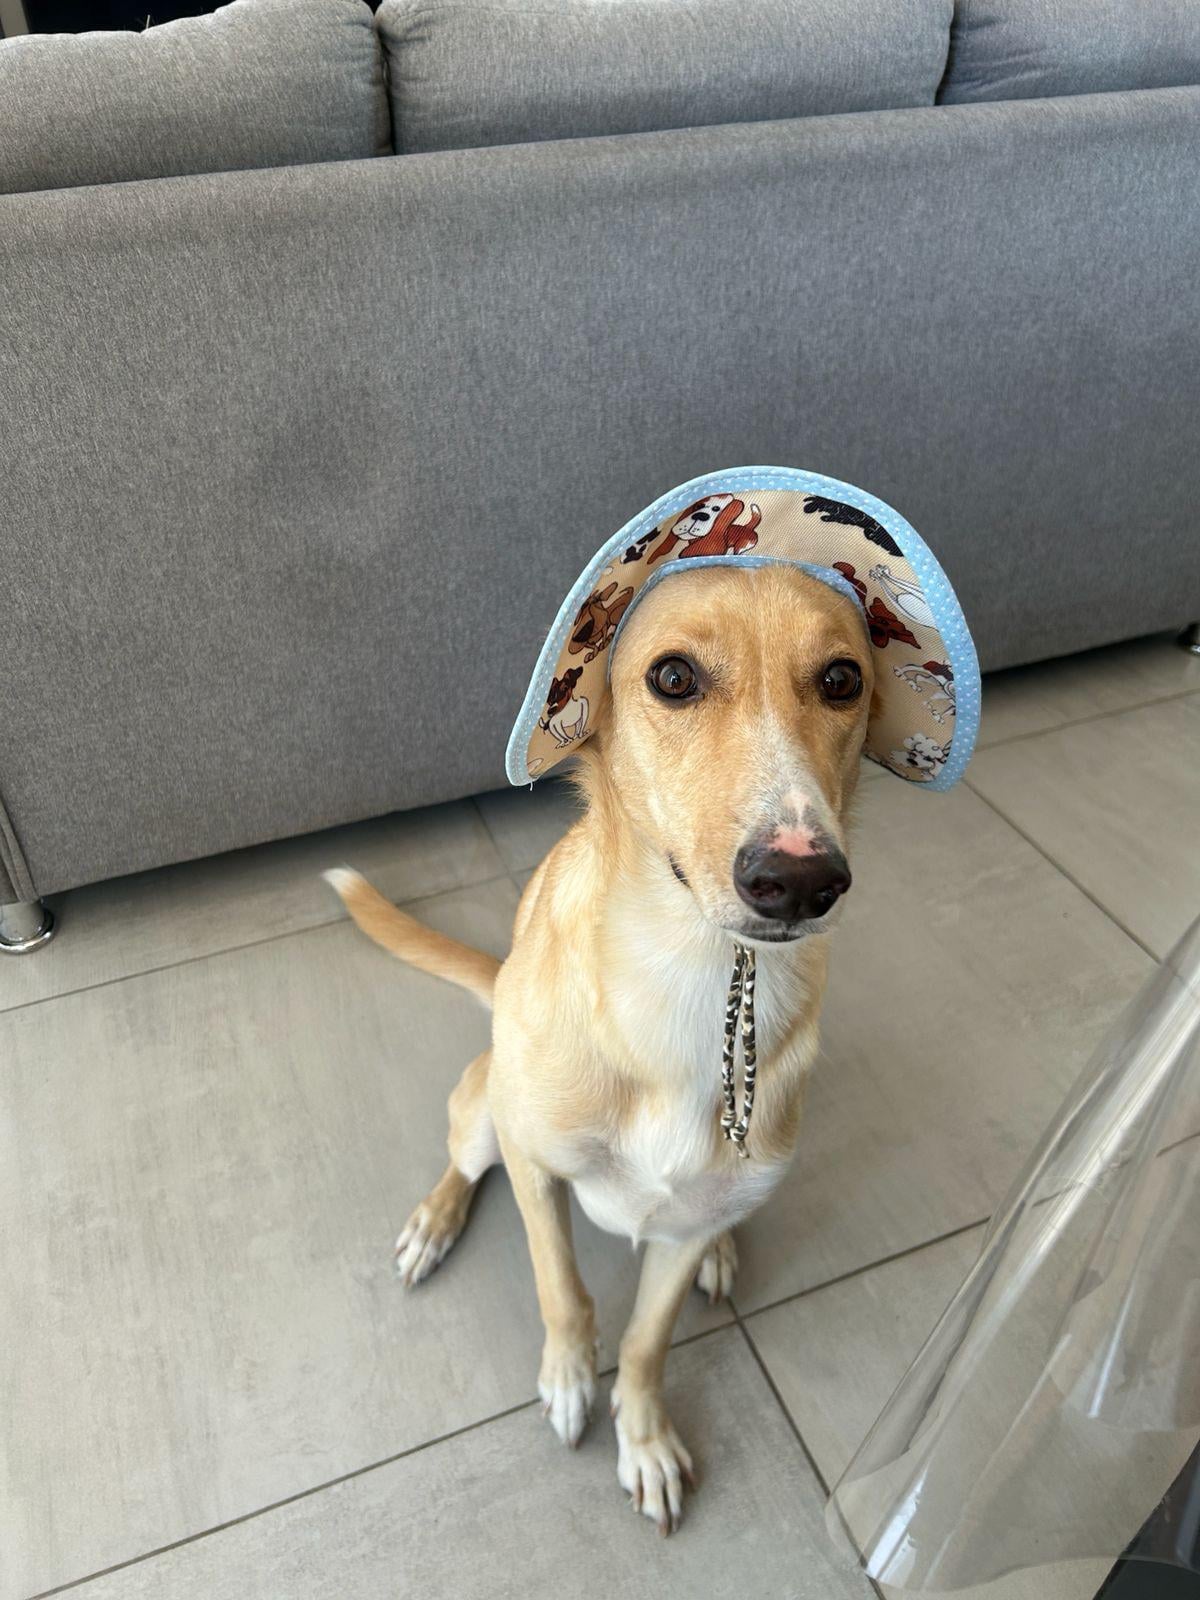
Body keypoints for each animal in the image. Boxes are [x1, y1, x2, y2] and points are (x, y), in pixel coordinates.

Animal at [325, 563, 872, 1534]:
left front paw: (644, 1438)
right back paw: (433, 1223)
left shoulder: (686, 1223)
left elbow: (648, 1341)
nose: (802, 879)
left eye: (843, 679)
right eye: (674, 677)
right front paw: (571, 1380)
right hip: (484, 1107)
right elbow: (563, 1290)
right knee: (464, 1161)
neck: (693, 975)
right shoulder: (537, 1167)